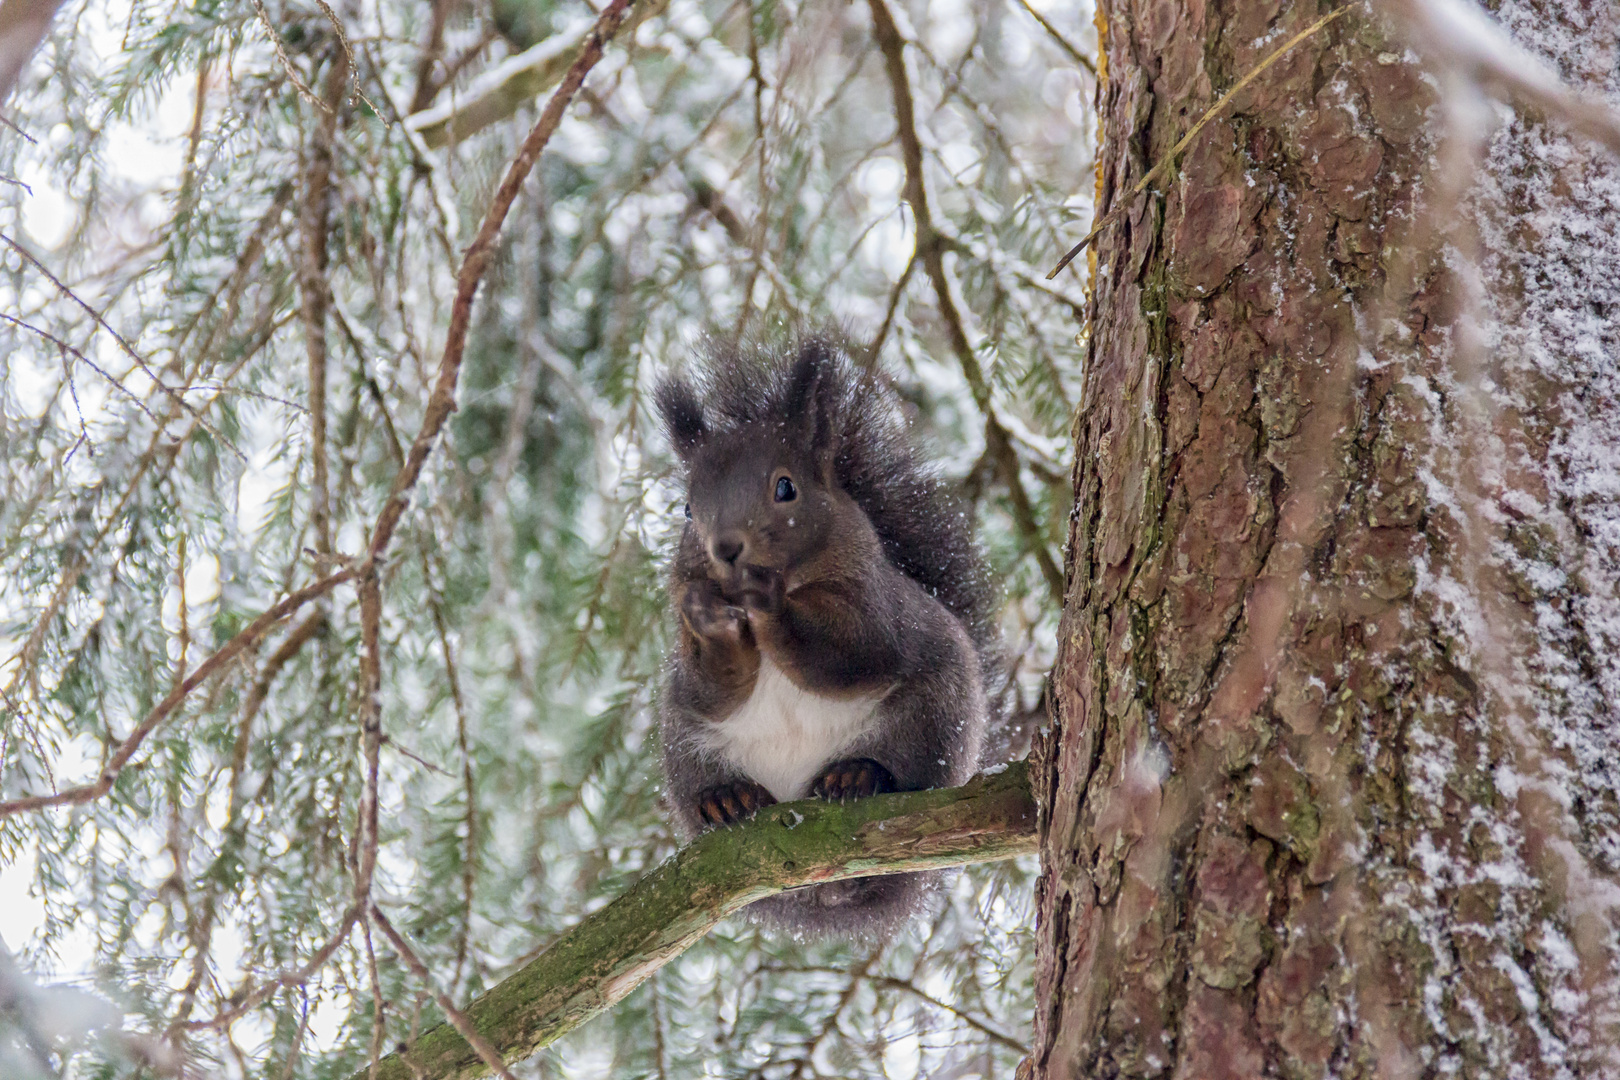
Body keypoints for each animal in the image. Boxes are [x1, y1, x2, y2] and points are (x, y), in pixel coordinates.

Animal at [654, 338, 997, 939]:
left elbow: (852, 651)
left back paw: (857, 775)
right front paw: (709, 616)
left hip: (933, 717)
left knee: (902, 774)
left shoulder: (875, 605)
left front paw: (770, 600)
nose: (725, 548)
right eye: (688, 508)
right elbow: (711, 689)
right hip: (683, 747)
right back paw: (726, 798)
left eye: (785, 487)